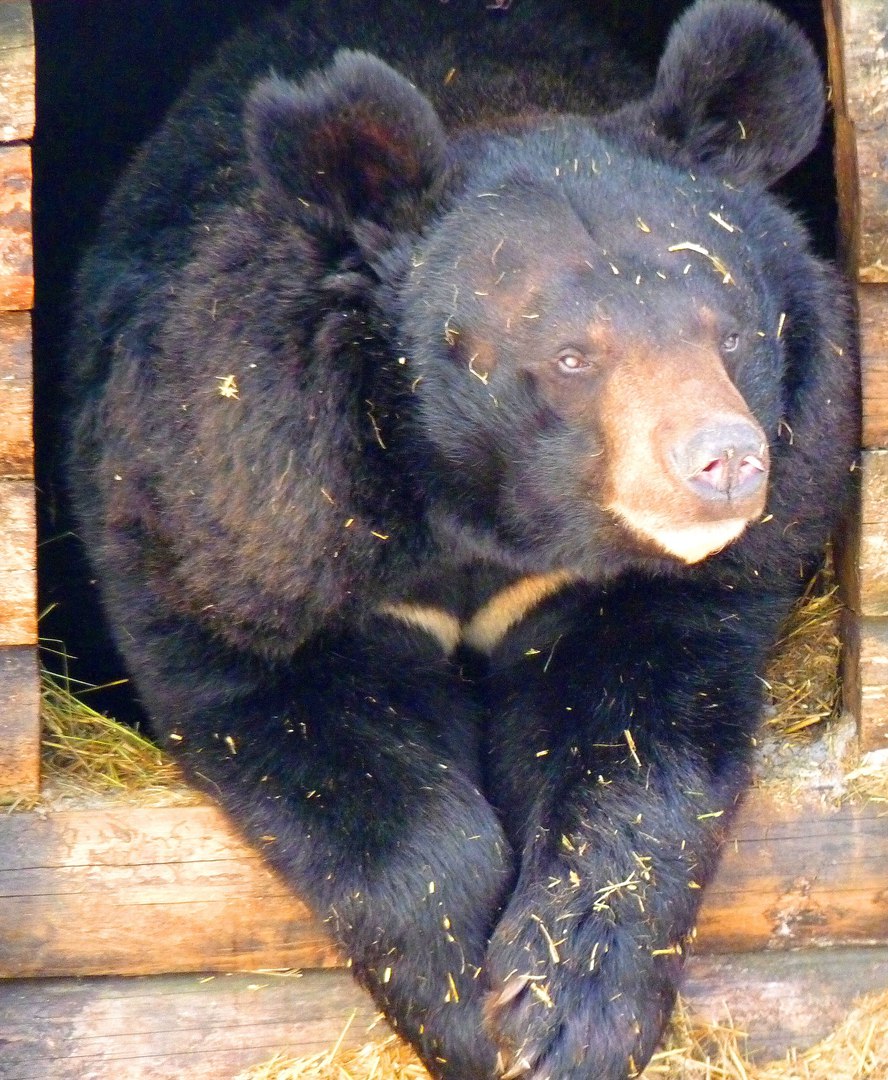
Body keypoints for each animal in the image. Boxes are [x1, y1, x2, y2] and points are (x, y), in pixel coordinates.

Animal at [67, 0, 864, 1075]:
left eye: (731, 332)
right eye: (569, 357)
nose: (727, 463)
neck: (485, 515)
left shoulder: (638, 589)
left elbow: (641, 738)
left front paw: (566, 1013)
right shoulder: (238, 511)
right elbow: (312, 731)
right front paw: (465, 1010)